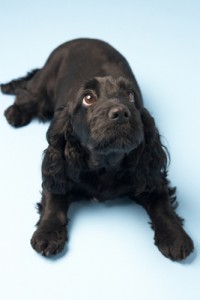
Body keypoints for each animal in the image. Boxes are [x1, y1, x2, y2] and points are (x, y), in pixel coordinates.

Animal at [0, 38, 194, 260]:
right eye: (88, 98)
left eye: (130, 96)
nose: (121, 113)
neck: (105, 163)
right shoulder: (57, 172)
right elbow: (53, 202)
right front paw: (47, 234)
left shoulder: (151, 176)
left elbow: (163, 206)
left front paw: (175, 237)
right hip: (45, 78)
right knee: (30, 93)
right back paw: (15, 112)